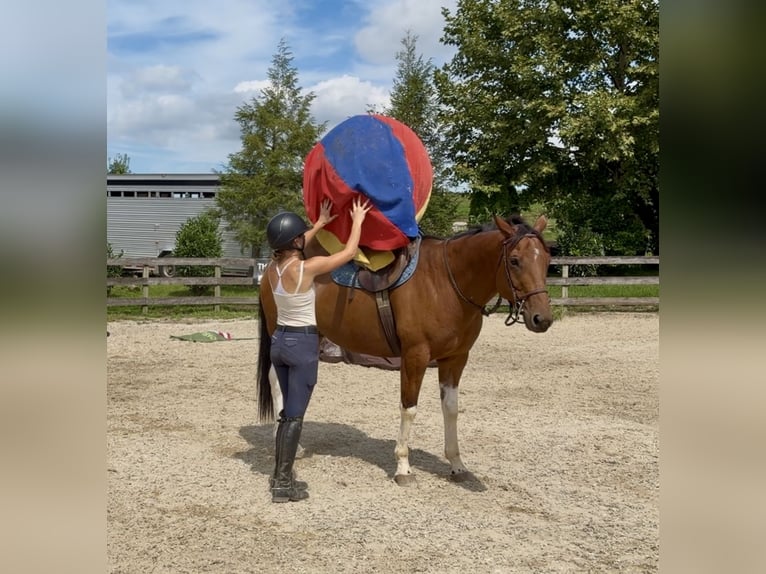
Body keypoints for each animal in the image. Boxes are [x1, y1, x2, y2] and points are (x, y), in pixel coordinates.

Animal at [256, 214, 553, 485]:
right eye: (514, 260)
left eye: (547, 260)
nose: (542, 318)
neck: (446, 282)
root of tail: (274, 264)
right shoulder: (415, 357)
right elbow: (409, 408)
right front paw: (403, 467)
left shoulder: (455, 359)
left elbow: (451, 409)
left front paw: (457, 465)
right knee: (276, 381)